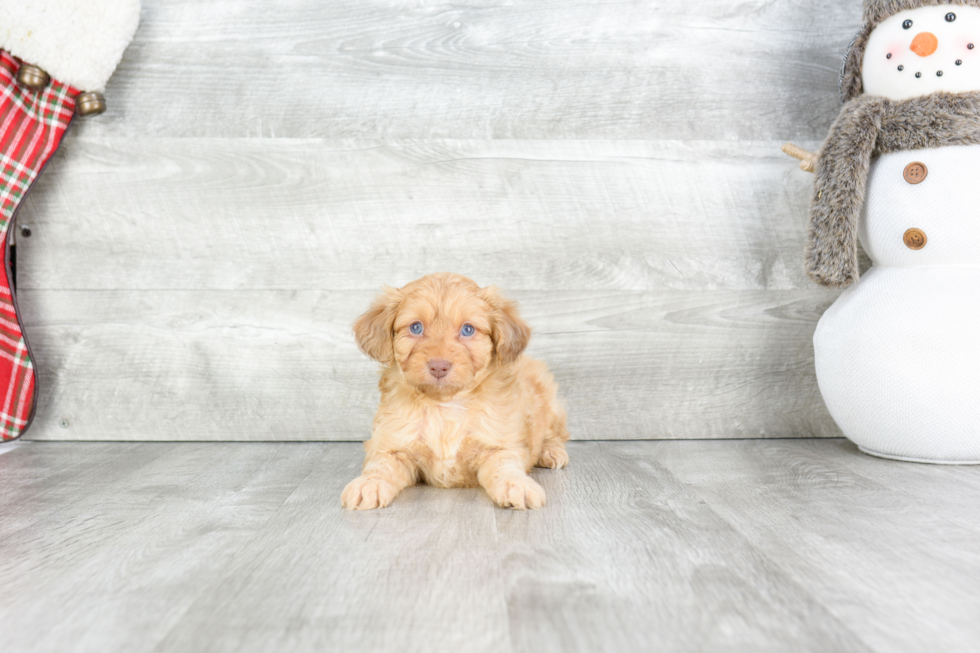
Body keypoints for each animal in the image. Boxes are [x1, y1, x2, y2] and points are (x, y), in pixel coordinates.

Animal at [342, 270, 568, 510]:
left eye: (467, 330)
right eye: (415, 327)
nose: (439, 366)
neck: (445, 404)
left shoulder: (500, 444)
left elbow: (504, 465)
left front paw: (515, 485)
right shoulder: (393, 446)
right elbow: (381, 465)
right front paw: (368, 483)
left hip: (551, 402)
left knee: (555, 434)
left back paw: (551, 452)